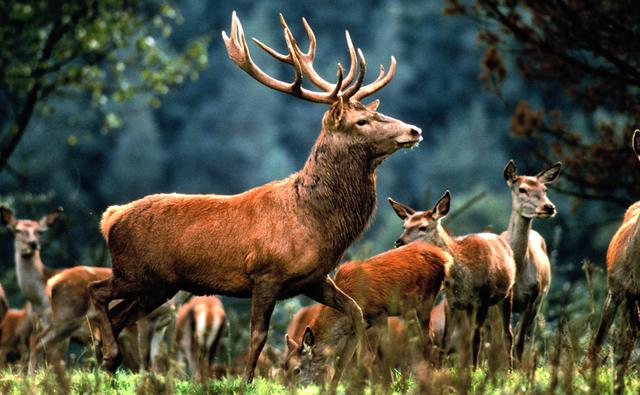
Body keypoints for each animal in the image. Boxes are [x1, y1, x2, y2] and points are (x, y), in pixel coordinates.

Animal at [89, 12, 420, 384]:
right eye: (362, 120)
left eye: (378, 113)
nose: (414, 130)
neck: (314, 221)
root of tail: (111, 217)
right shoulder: (266, 273)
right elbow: (258, 335)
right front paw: (245, 382)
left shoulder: (315, 278)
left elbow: (356, 311)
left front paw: (346, 377)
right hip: (134, 272)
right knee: (97, 293)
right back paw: (108, 355)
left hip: (157, 287)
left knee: (118, 317)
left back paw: (106, 367)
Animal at [282, 243, 448, 388]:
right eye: (285, 367)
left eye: (297, 370)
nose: (288, 389)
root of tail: (443, 255)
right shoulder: (355, 328)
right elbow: (344, 361)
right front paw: (333, 388)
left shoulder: (379, 313)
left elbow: (381, 352)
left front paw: (388, 385)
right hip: (410, 310)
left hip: (427, 299)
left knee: (428, 339)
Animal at [388, 192, 516, 368]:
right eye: (404, 226)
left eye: (423, 227)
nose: (398, 242)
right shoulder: (450, 302)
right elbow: (445, 340)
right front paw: (439, 368)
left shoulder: (482, 300)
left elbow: (476, 339)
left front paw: (473, 370)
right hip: (471, 308)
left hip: (507, 293)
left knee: (507, 334)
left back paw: (510, 369)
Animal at [500, 160, 560, 362]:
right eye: (522, 189)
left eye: (545, 189)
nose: (549, 207)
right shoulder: (505, 300)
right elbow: (507, 337)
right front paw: (507, 368)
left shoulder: (532, 298)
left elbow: (519, 340)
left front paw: (517, 368)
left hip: (539, 302)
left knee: (524, 334)